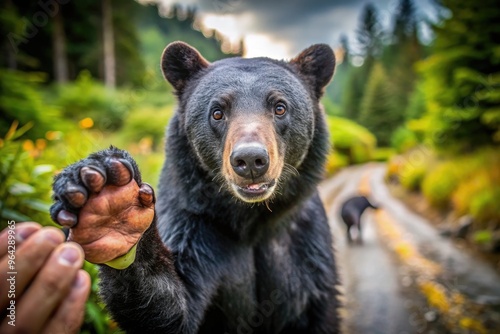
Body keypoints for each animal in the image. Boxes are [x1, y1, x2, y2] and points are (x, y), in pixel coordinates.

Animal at [49, 42, 340, 334]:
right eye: (217, 112)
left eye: (280, 107)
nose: (250, 160)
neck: (250, 220)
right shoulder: (196, 225)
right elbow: (173, 307)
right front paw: (112, 211)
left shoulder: (305, 246)